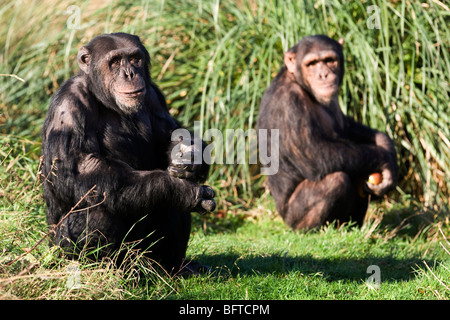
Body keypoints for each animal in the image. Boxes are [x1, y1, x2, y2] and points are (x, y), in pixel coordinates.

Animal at [39, 33, 215, 272]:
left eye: (134, 59)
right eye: (114, 62)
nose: (129, 73)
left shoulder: (153, 95)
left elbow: (169, 133)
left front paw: (190, 156)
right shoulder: (68, 106)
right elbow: (82, 169)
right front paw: (178, 188)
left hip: (147, 256)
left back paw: (174, 269)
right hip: (62, 250)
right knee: (98, 206)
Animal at [256, 35, 398, 230]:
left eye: (330, 60)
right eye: (312, 64)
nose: (323, 74)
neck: (301, 84)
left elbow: (346, 127)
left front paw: (386, 144)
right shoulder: (289, 104)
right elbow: (316, 153)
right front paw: (386, 160)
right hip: (292, 218)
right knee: (336, 180)